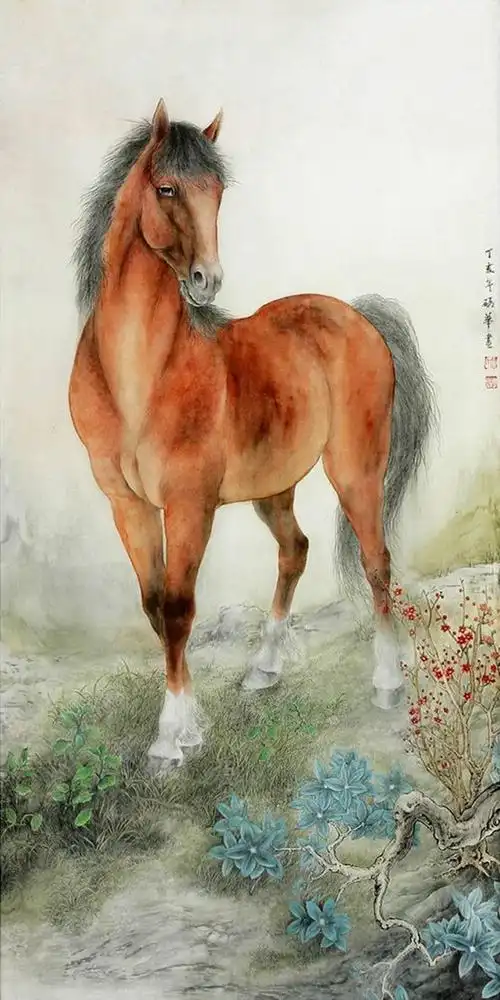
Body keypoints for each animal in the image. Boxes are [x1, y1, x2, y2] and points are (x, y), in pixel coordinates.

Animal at [69, 99, 436, 774]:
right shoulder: (128, 506)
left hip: (355, 471)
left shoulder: (189, 505)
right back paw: (264, 671)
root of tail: (357, 314)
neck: (140, 375)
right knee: (296, 551)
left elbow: (180, 609)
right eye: (167, 188)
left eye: (218, 193)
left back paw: (387, 682)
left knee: (375, 562)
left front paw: (170, 741)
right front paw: (188, 729)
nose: (205, 280)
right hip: (274, 487)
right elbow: (155, 608)